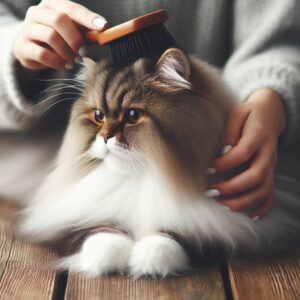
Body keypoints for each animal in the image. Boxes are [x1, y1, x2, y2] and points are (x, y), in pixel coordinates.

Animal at [16, 48, 300, 276]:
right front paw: (110, 256)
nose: (105, 137)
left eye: (132, 116)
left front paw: (148, 259)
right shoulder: (75, 218)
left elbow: (176, 236)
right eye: (98, 115)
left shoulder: (217, 225)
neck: (147, 175)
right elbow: (98, 231)